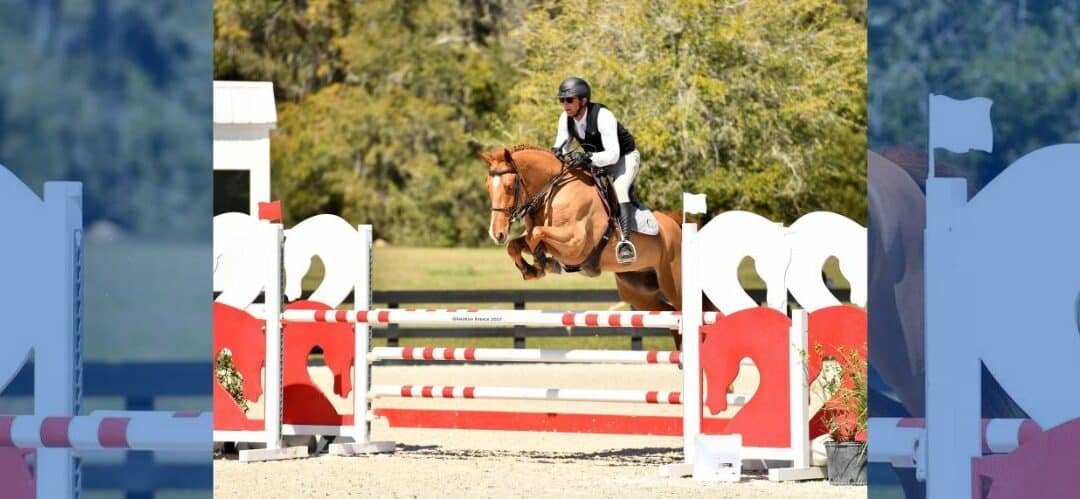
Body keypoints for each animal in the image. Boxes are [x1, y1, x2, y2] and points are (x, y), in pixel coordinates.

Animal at [478, 145, 685, 348]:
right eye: (487, 187)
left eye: (509, 187)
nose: (497, 234)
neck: (553, 192)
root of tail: (675, 224)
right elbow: (517, 244)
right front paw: (532, 269)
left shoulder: (575, 245)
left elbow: (536, 234)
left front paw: (542, 264)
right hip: (636, 289)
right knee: (669, 316)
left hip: (673, 282)